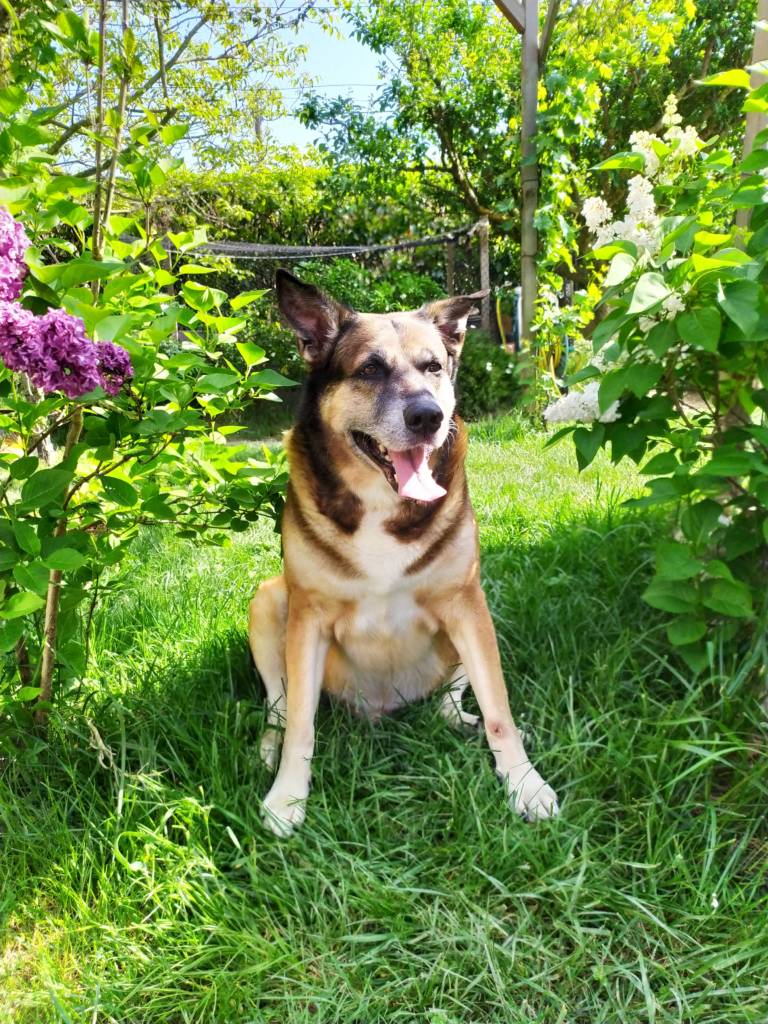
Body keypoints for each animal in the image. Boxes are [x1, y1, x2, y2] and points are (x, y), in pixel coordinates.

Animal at [252, 268, 561, 835]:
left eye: (433, 366)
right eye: (370, 369)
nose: (428, 417)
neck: (382, 502)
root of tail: (385, 709)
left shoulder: (466, 603)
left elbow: (500, 711)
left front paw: (525, 785)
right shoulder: (307, 617)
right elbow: (302, 726)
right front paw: (287, 797)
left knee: (449, 702)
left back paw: (461, 720)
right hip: (268, 602)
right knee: (281, 709)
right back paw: (268, 748)